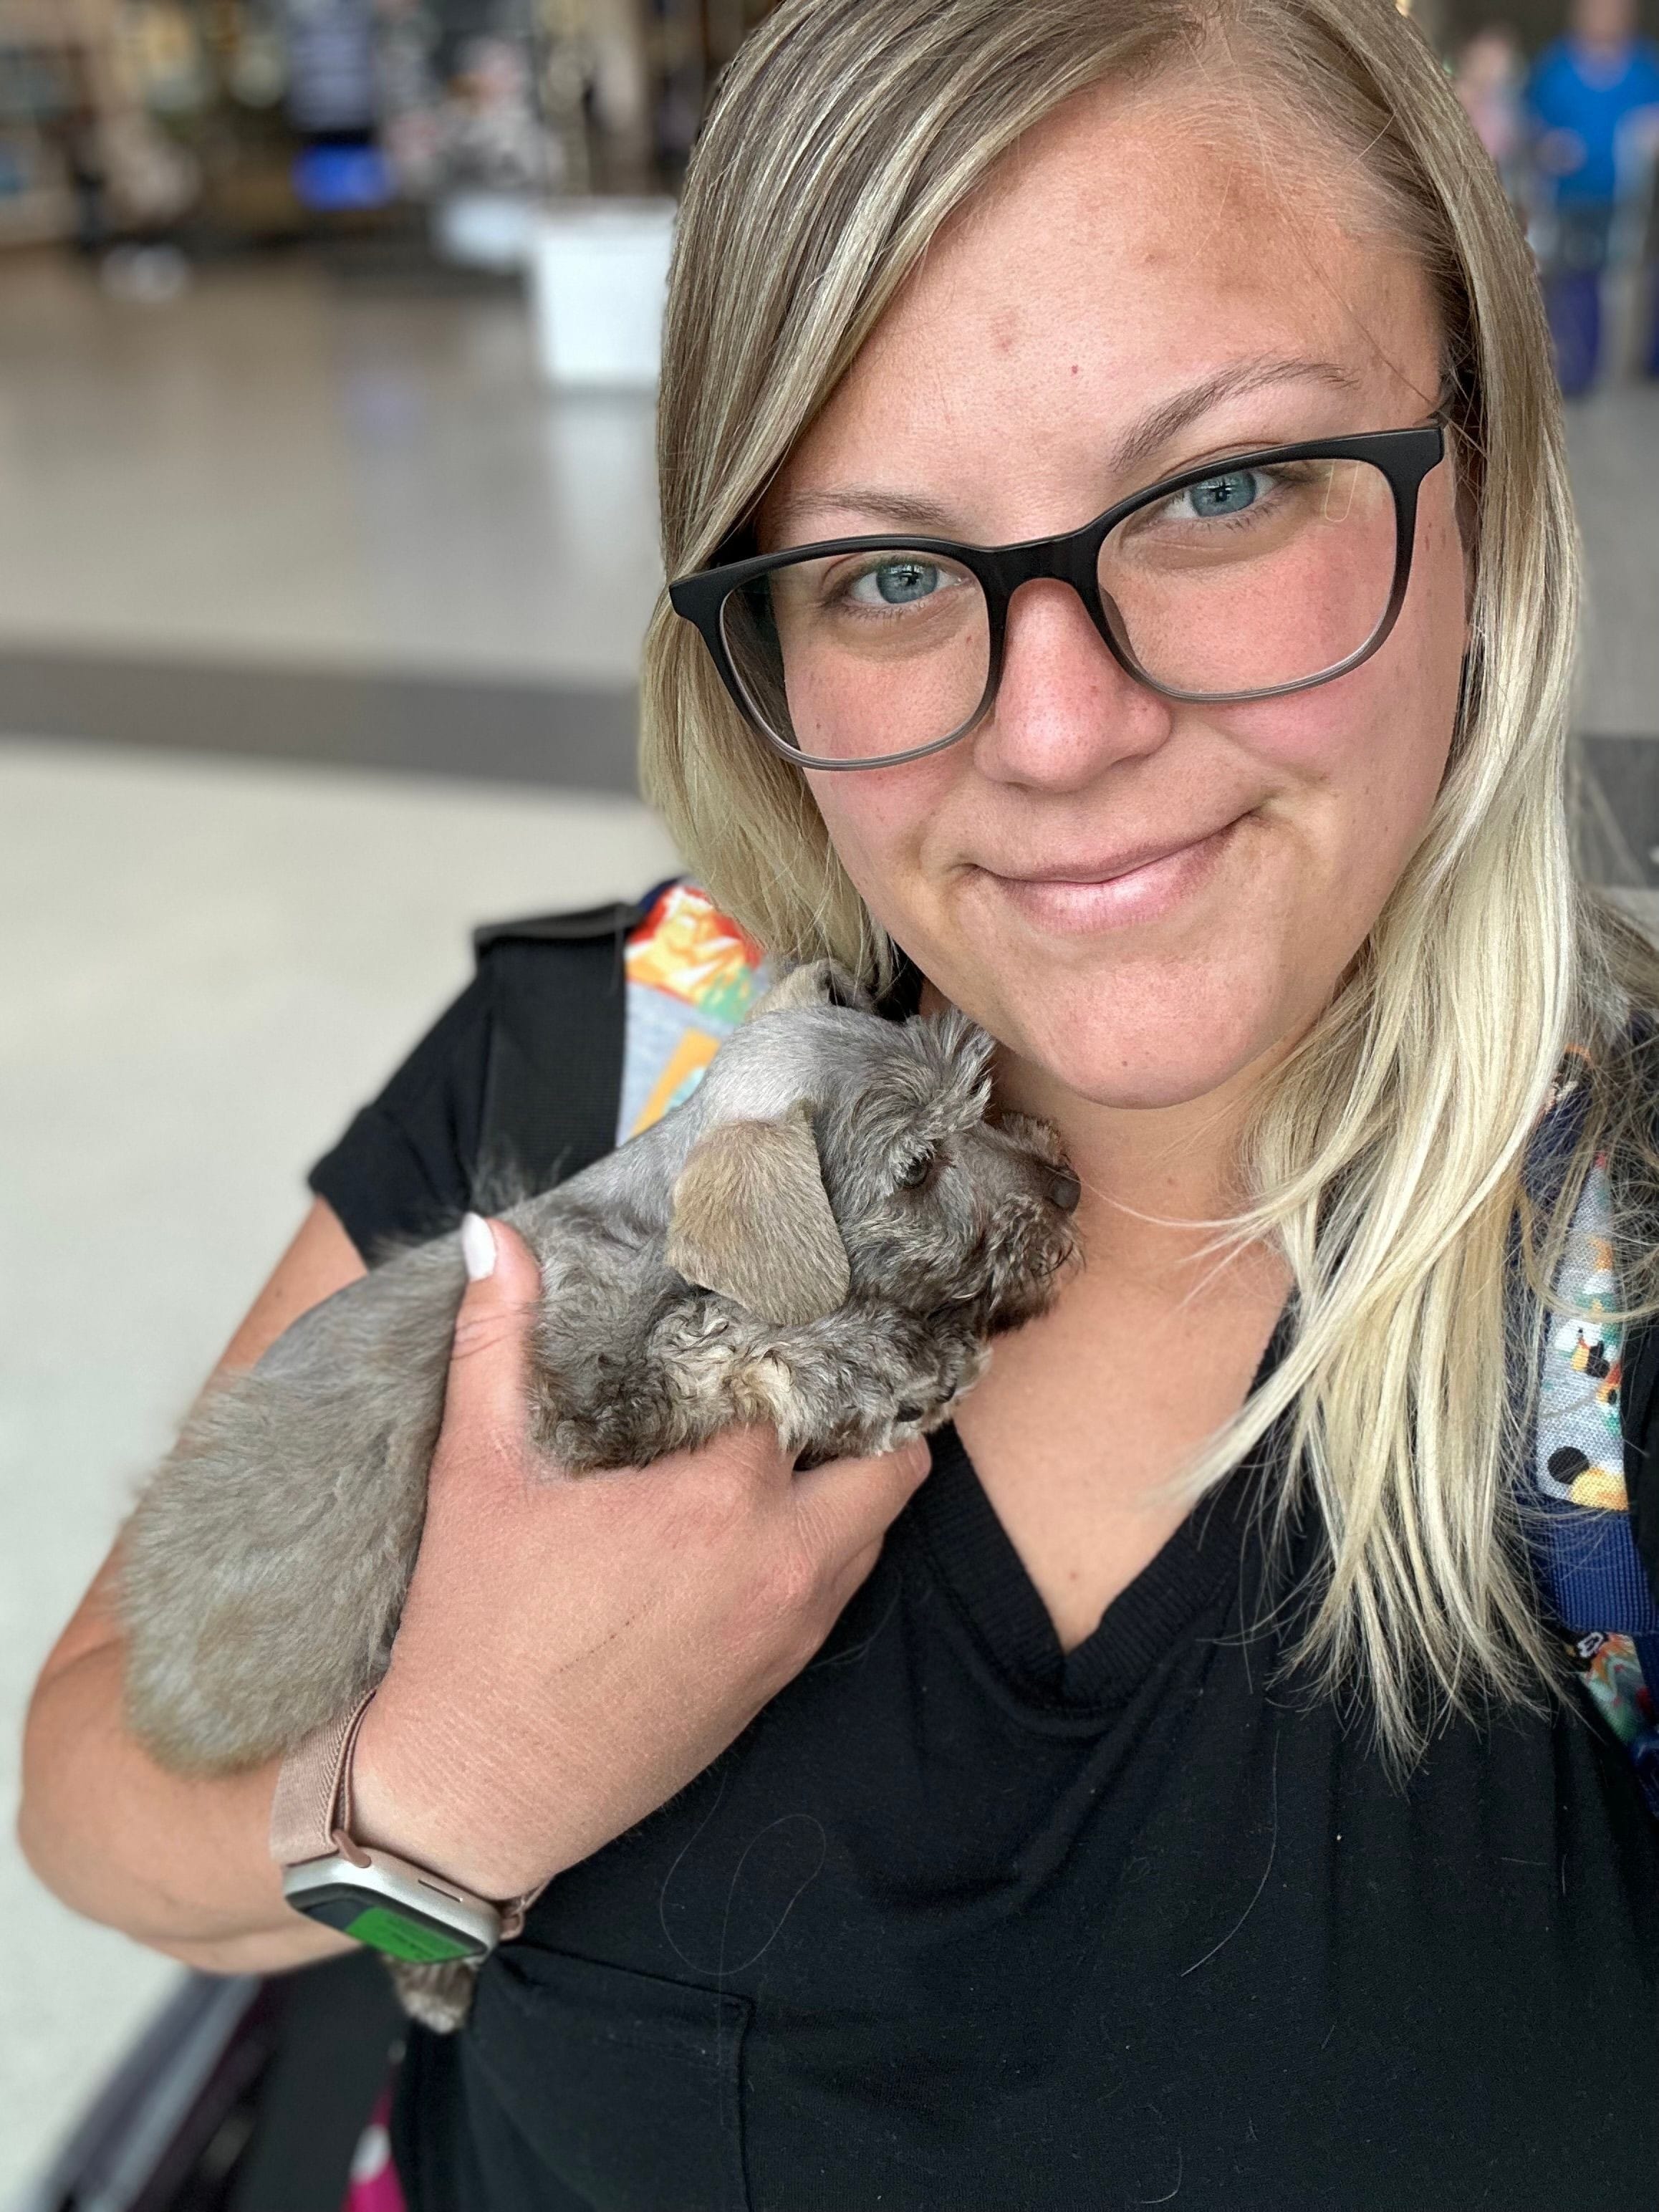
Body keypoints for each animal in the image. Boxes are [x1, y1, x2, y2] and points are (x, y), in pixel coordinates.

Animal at [117, 960, 1079, 2017]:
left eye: (981, 1101)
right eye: (918, 1168)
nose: (1070, 1186)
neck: (652, 1222)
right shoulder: (587, 1411)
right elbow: (726, 1343)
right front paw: (881, 1364)